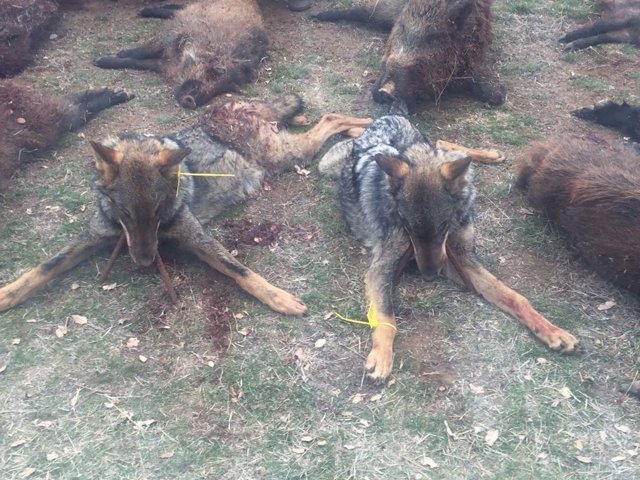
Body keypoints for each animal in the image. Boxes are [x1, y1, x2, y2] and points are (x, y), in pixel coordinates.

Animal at [0, 94, 371, 315]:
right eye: (125, 215)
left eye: (157, 212)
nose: (144, 263)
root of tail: (230, 106)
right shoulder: (93, 237)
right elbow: (44, 267)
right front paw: (7, 294)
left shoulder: (195, 237)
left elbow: (241, 270)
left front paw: (278, 298)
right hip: (285, 148)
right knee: (311, 117)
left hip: (286, 155)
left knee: (329, 117)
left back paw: (363, 124)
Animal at [94, 0, 267, 109]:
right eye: (211, 74)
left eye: (218, 91)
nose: (192, 102)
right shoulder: (171, 35)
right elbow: (142, 51)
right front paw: (100, 60)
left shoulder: (163, 65)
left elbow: (138, 63)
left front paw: (101, 60)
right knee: (180, 7)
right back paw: (142, 11)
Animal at [319, 116, 577, 381]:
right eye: (407, 227)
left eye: (443, 226)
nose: (429, 277)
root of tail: (387, 118)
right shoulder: (384, 267)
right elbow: (385, 313)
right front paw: (382, 356)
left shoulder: (459, 259)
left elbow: (514, 297)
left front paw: (552, 330)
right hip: (327, 164)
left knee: (444, 145)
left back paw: (486, 154)